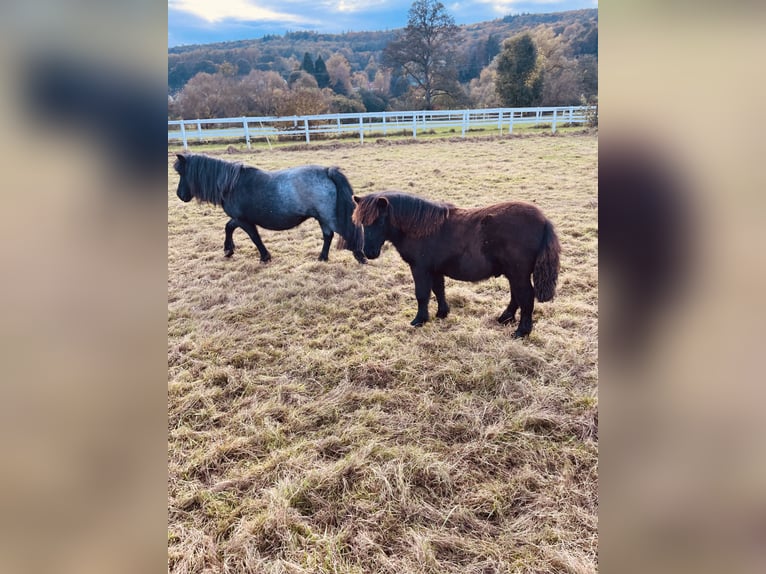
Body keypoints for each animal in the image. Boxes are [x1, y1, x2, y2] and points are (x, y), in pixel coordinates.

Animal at [176, 154, 368, 264]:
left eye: (180, 172)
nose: (179, 195)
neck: (232, 185)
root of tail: (327, 171)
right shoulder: (240, 219)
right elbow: (229, 227)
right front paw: (228, 250)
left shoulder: (243, 220)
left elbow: (254, 237)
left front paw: (264, 257)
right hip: (323, 218)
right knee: (328, 236)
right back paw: (322, 258)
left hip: (329, 217)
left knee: (347, 232)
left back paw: (360, 257)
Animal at [352, 192, 560, 338]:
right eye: (363, 222)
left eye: (379, 221)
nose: (369, 252)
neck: (420, 228)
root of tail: (543, 220)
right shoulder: (434, 270)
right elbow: (438, 290)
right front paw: (442, 313)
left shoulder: (420, 269)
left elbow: (422, 294)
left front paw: (419, 320)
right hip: (513, 273)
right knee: (517, 296)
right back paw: (505, 318)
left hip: (518, 273)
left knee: (526, 297)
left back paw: (522, 331)